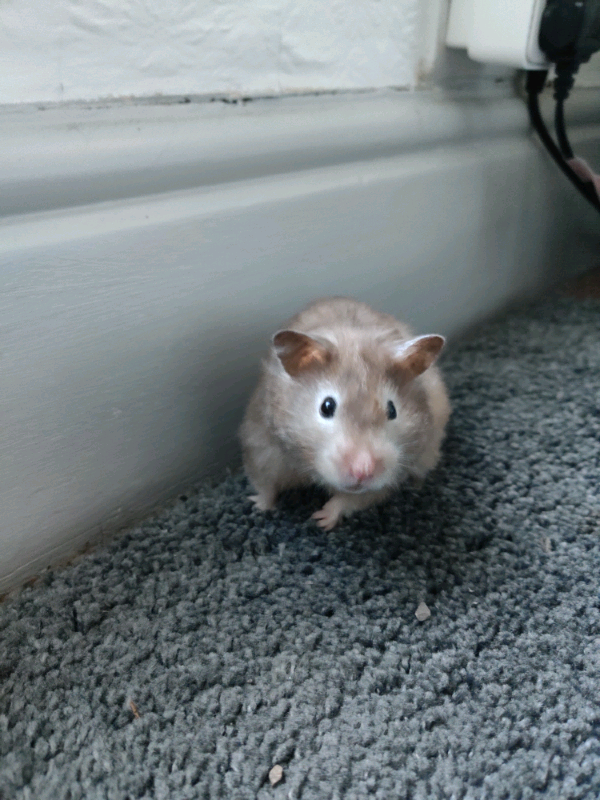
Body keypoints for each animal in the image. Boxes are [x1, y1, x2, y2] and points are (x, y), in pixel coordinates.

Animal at [239, 297, 450, 530]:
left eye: (392, 410)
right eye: (327, 406)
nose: (363, 471)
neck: (308, 464)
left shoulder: (387, 478)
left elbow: (348, 500)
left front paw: (320, 520)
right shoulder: (262, 448)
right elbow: (266, 485)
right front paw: (257, 507)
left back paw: (417, 485)